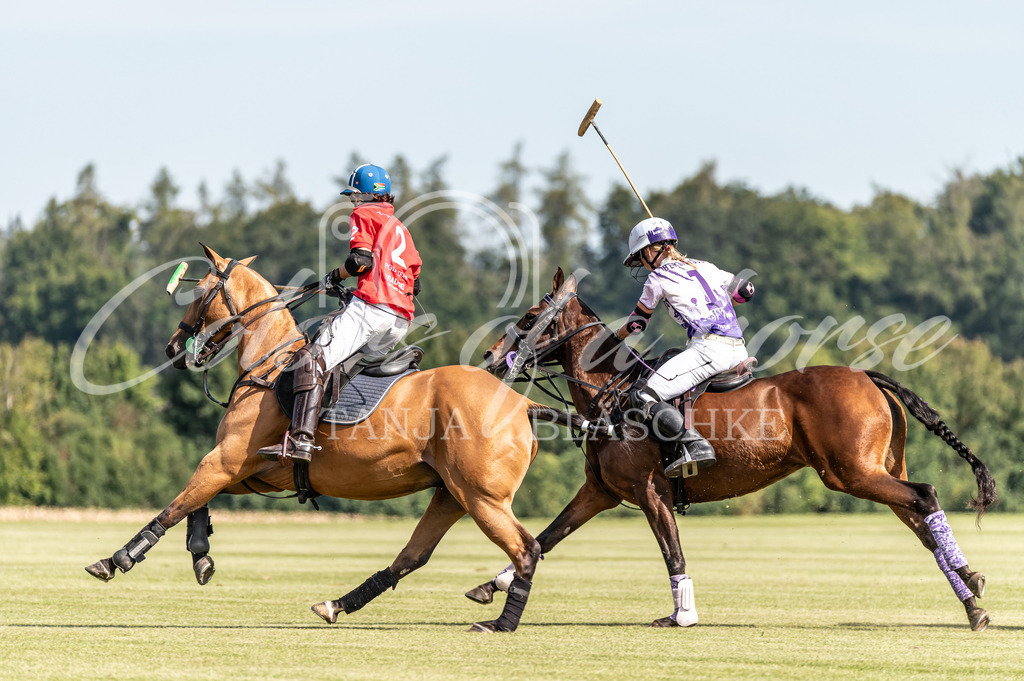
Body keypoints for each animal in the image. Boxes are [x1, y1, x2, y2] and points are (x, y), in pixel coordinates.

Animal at [83, 244, 573, 630]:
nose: (172, 348)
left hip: (483, 497)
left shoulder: (226, 459)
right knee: (412, 556)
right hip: (453, 494)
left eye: (200, 292)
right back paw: (336, 604)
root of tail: (523, 404)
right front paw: (201, 554)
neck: (268, 364)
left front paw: (117, 559)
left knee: (526, 549)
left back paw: (500, 623)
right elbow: (196, 503)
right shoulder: (251, 471)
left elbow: (177, 504)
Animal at [468, 268, 995, 630]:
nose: (491, 357)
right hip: (876, 469)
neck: (611, 393)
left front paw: (680, 616)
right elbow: (547, 536)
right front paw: (489, 588)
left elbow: (672, 553)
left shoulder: (649, 490)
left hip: (851, 473)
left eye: (530, 318)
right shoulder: (600, 491)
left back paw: (970, 584)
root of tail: (867, 375)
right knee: (921, 523)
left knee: (925, 496)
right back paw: (972, 599)